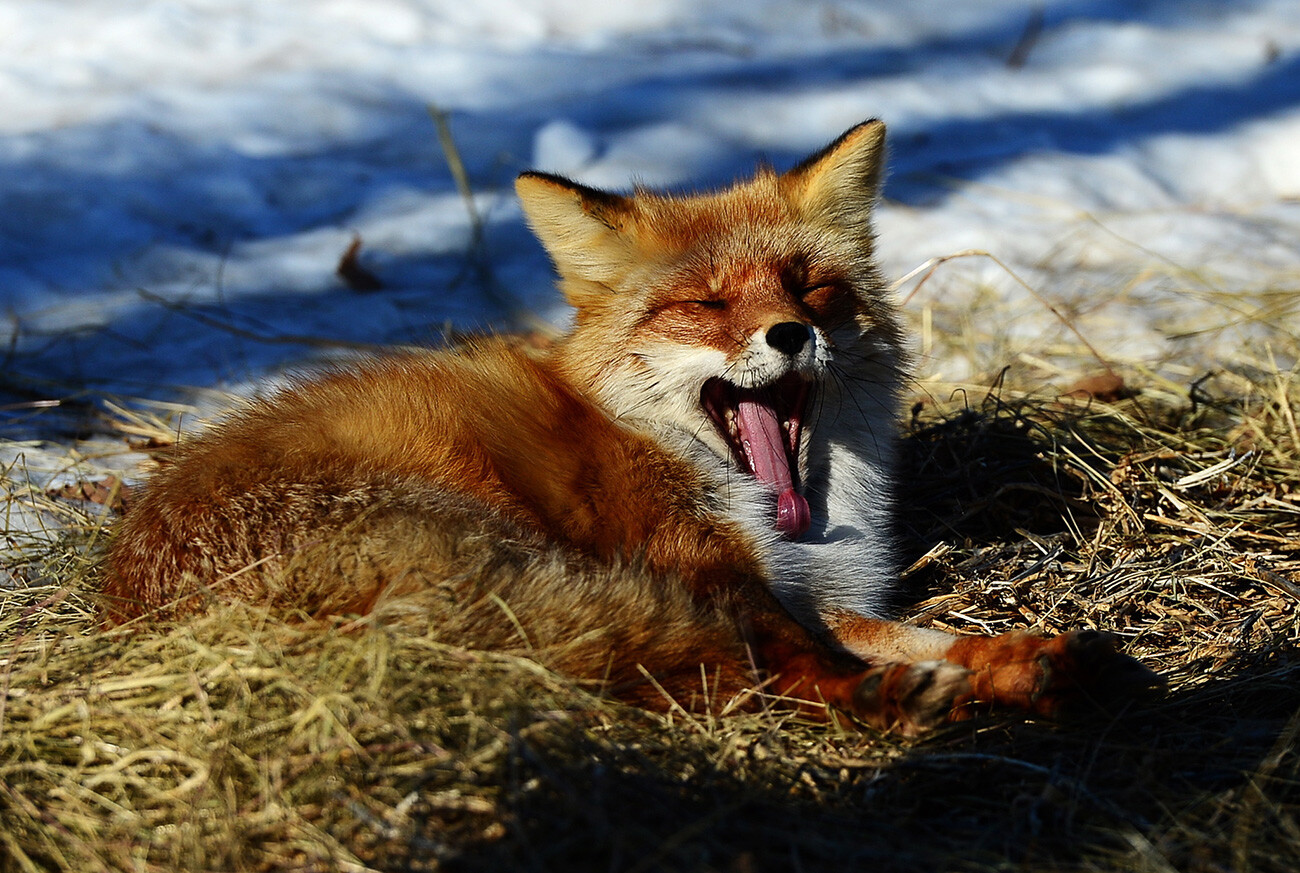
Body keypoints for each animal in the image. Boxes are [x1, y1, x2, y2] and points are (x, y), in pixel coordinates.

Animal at [104, 120, 1159, 737]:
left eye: (809, 285)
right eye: (705, 303)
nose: (792, 333)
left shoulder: (805, 593)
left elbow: (921, 633)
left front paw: (1015, 660)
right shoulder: (719, 574)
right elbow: (816, 657)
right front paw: (924, 685)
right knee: (733, 679)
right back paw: (882, 707)